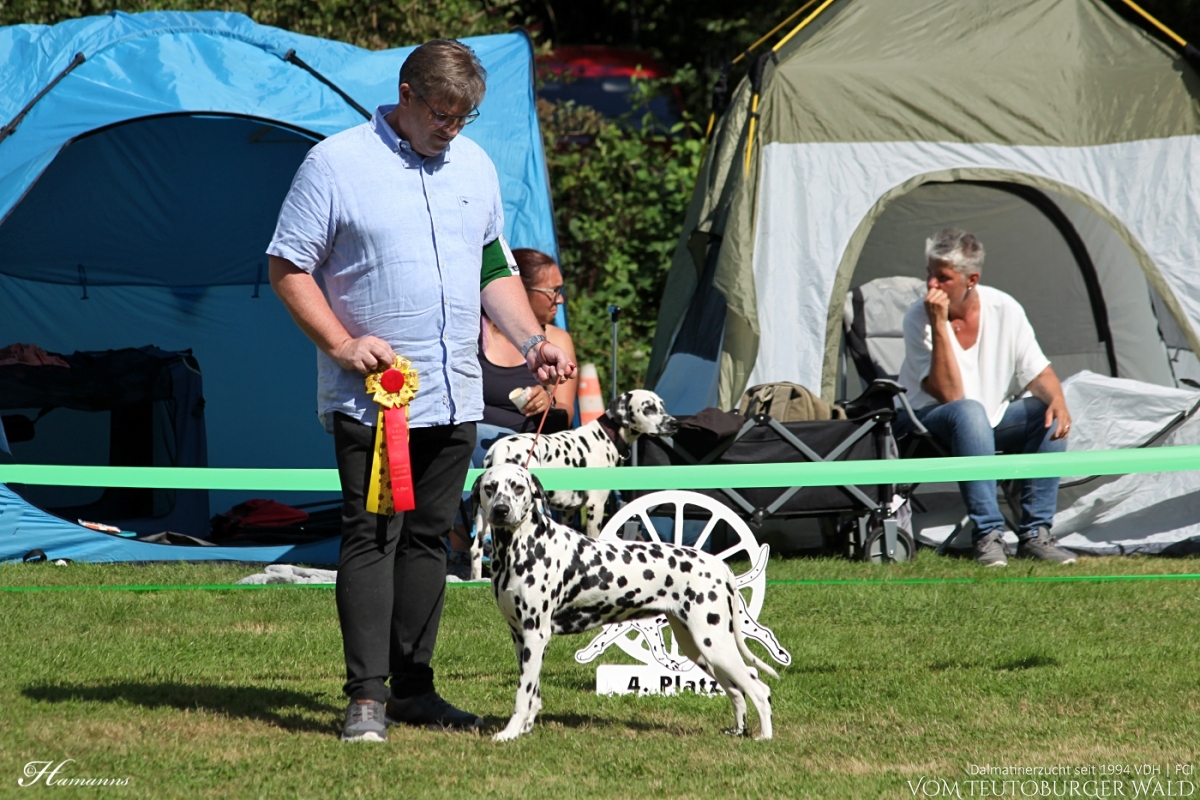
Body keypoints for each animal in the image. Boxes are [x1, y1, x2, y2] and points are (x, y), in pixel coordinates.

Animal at [468, 462, 777, 743]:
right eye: (490, 488)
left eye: (518, 487)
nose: (501, 510)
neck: (522, 546)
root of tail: (718, 564)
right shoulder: (521, 637)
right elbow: (533, 692)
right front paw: (526, 728)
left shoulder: (535, 635)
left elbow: (522, 694)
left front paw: (509, 733)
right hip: (699, 648)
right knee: (736, 691)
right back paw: (737, 731)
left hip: (715, 644)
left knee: (759, 690)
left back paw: (764, 736)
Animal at [472, 388, 681, 575]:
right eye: (648, 408)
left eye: (662, 405)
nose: (675, 424)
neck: (606, 436)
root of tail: (501, 447)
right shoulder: (596, 506)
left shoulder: (569, 512)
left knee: (476, 549)